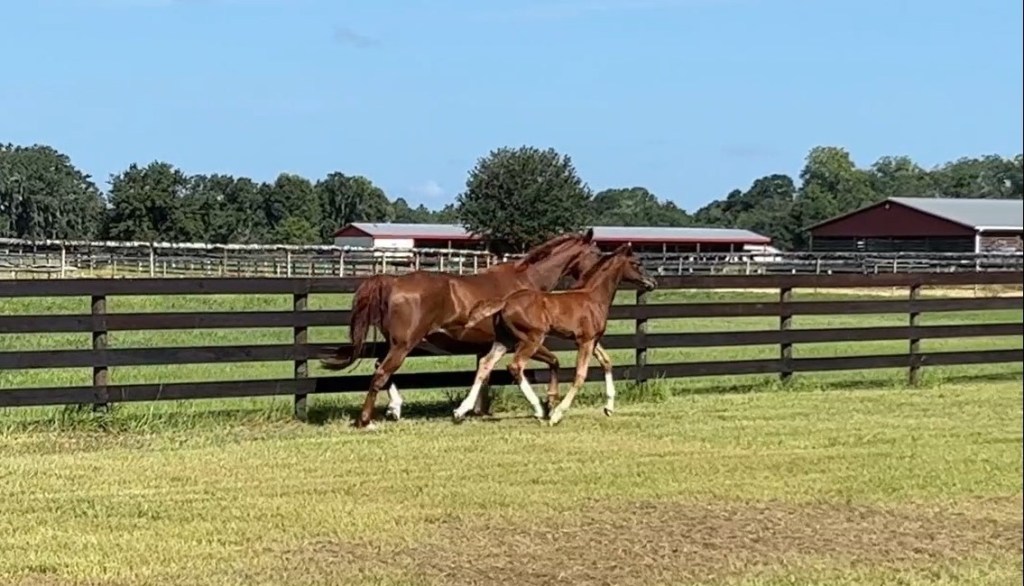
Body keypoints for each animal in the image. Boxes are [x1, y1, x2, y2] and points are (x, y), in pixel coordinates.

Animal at [319, 229, 603, 429]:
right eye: (598, 253)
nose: (591, 282)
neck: (527, 281)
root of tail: (393, 281)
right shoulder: (524, 341)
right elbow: (552, 362)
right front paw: (548, 404)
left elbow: (483, 374)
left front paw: (471, 410)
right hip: (404, 344)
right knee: (381, 373)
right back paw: (365, 420)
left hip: (395, 343)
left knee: (380, 367)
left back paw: (395, 408)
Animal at [460, 243, 657, 426]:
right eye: (637, 263)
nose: (653, 282)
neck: (593, 297)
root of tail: (505, 301)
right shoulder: (585, 341)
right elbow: (580, 375)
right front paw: (557, 414)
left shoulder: (593, 340)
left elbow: (607, 362)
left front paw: (608, 407)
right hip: (531, 339)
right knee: (515, 366)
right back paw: (539, 410)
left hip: (505, 340)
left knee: (485, 363)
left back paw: (460, 411)